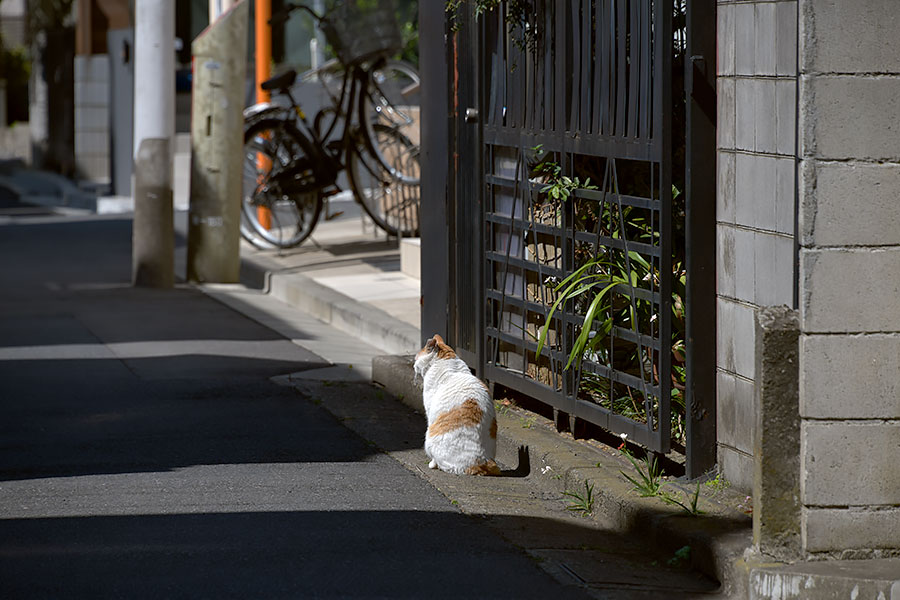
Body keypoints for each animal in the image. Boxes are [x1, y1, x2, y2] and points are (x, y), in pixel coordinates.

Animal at [414, 336, 500, 476]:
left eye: (416, 358)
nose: (414, 362)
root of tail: (483, 461)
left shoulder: (429, 412)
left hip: (429, 437)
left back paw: (433, 464)